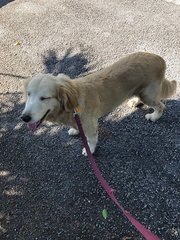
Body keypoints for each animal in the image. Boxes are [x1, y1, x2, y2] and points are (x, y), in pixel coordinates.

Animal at [21, 52, 177, 156]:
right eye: (28, 94)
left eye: (44, 98)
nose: (24, 118)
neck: (72, 104)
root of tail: (159, 59)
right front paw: (75, 130)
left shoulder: (91, 125)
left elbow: (91, 140)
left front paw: (89, 150)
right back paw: (134, 101)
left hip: (148, 95)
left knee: (161, 105)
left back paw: (154, 116)